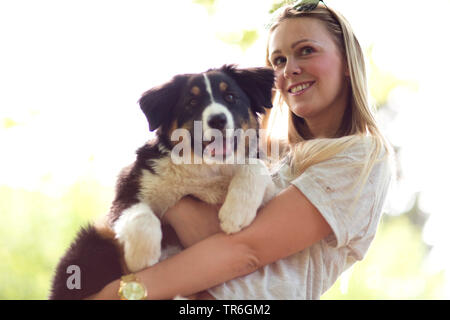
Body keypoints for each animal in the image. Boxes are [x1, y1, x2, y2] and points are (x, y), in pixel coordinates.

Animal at [51, 65, 280, 300]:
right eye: (192, 102)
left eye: (230, 97)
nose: (218, 120)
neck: (204, 168)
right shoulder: (129, 187)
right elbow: (142, 216)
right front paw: (141, 257)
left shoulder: (267, 190)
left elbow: (255, 166)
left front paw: (236, 214)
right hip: (91, 244)